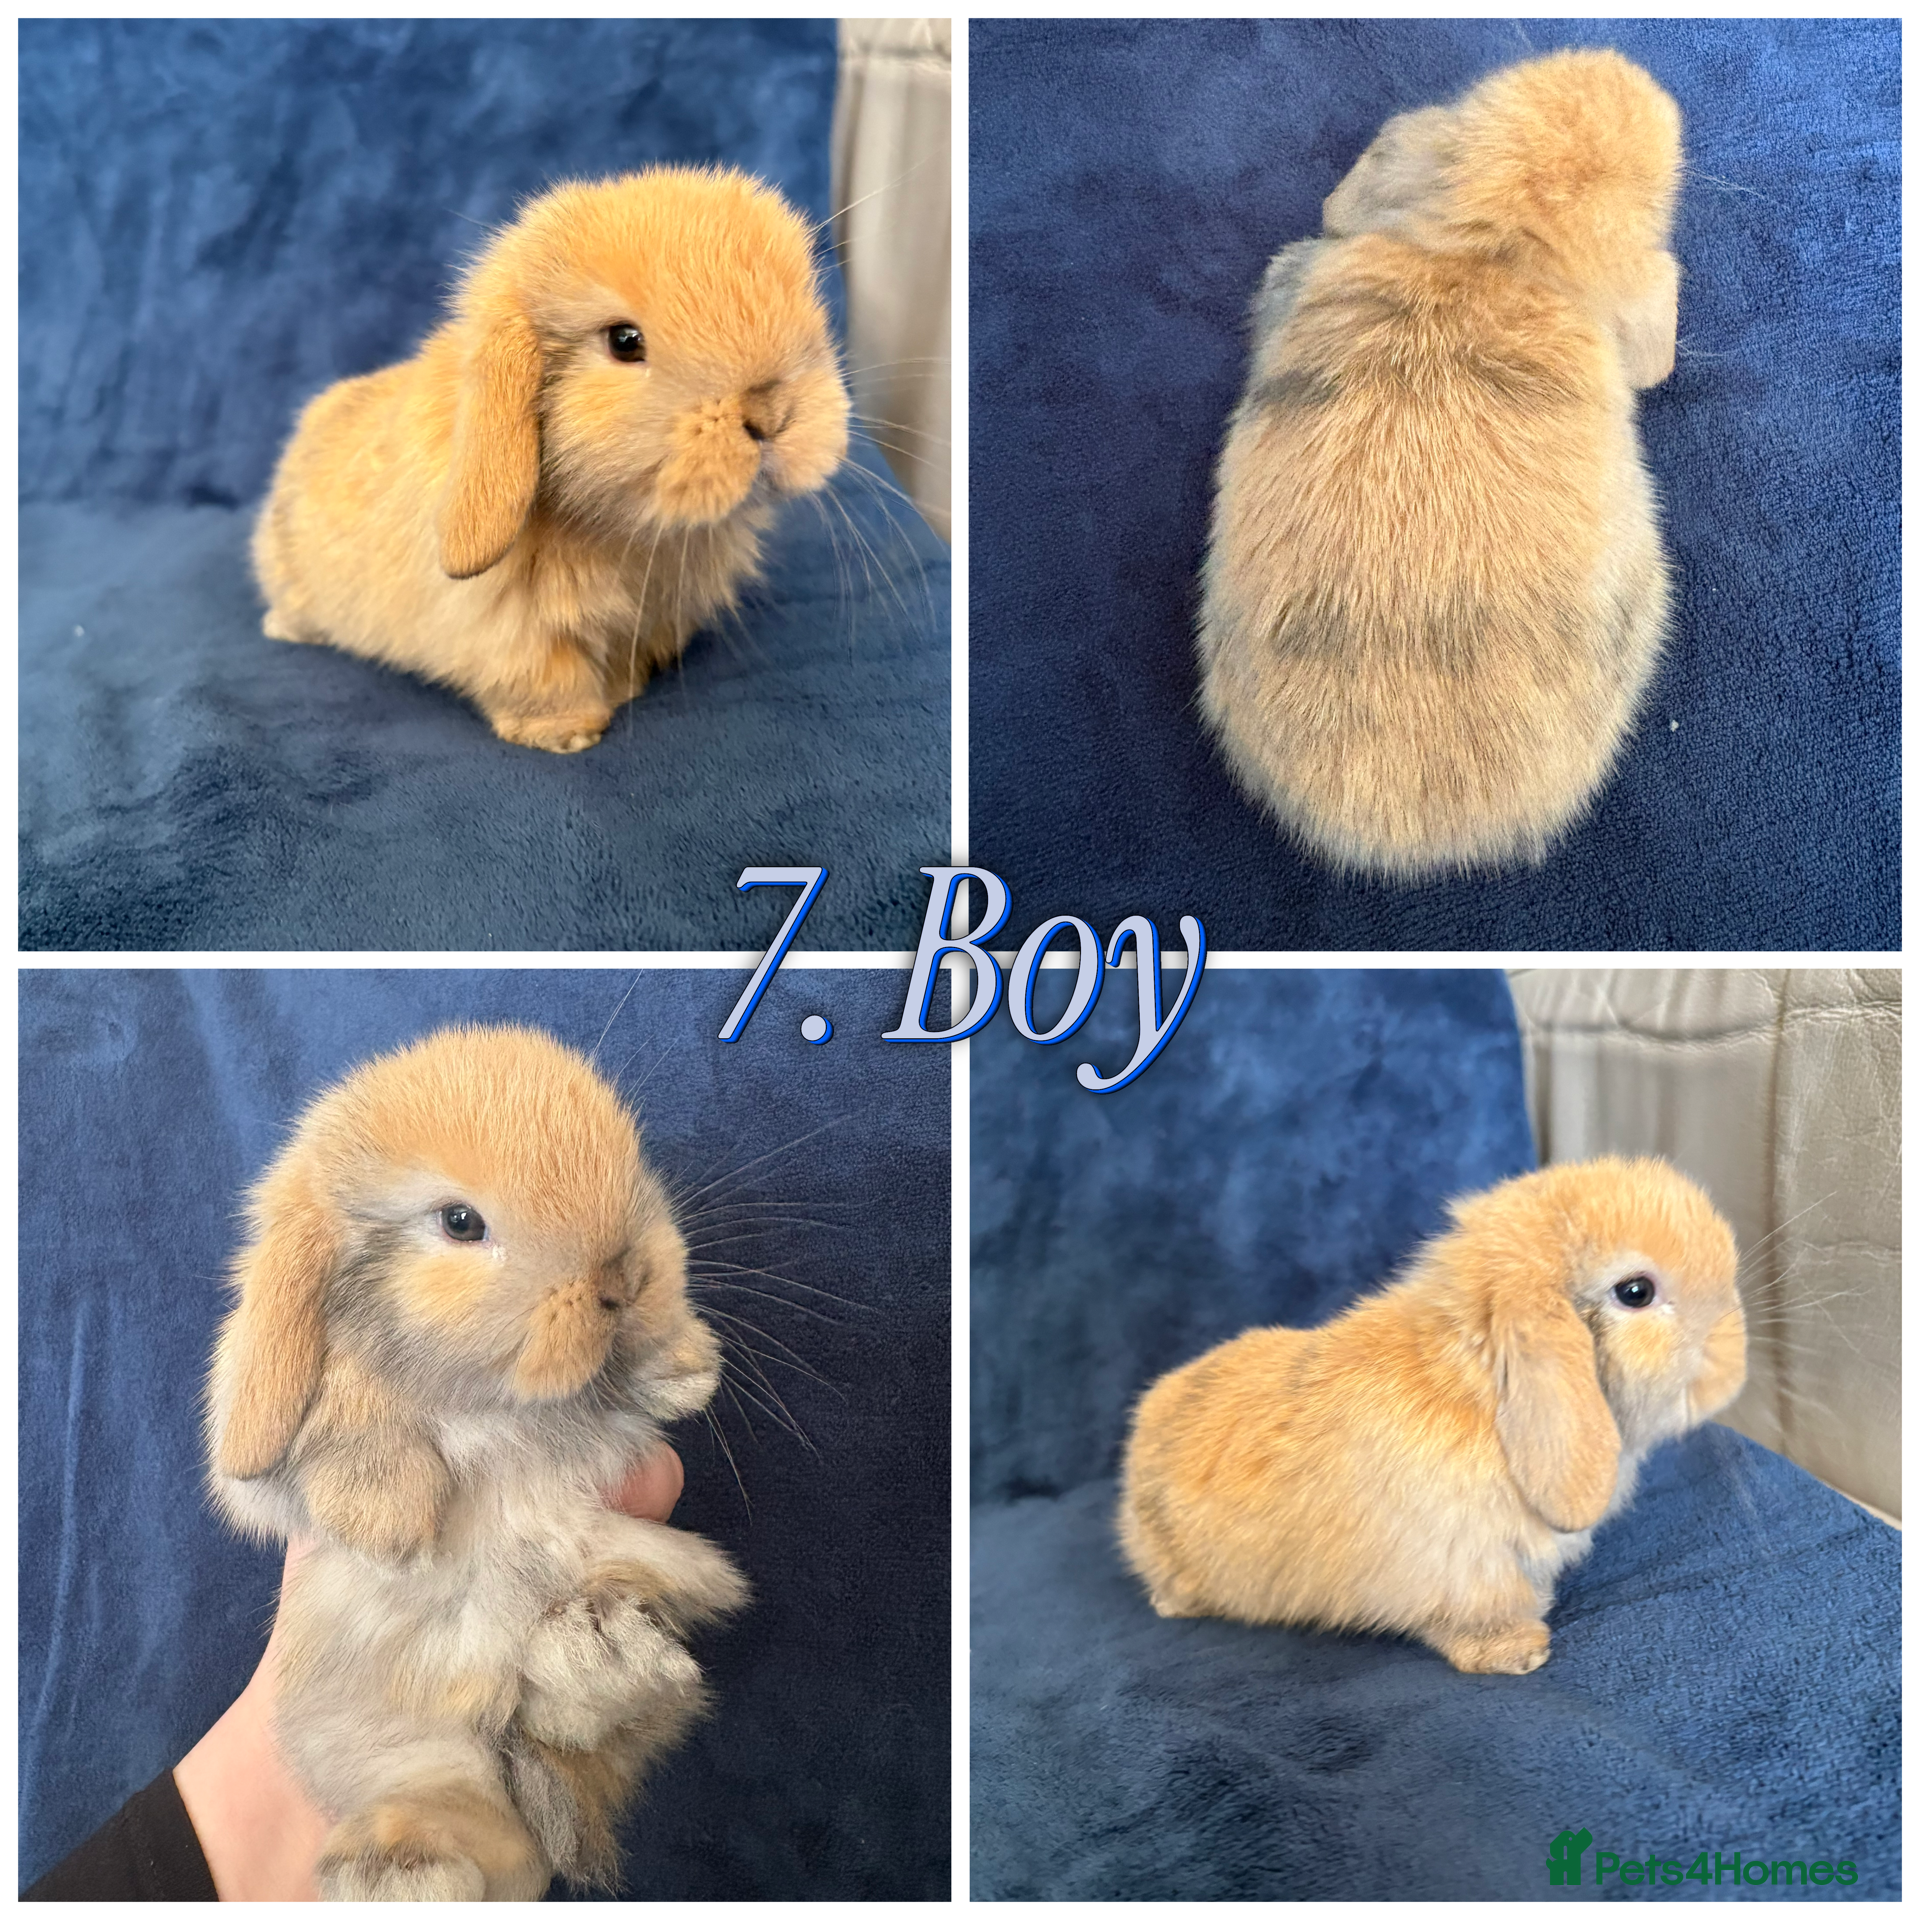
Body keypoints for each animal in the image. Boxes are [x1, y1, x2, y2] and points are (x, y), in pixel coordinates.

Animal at [204, 1024, 748, 1898]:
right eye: (460, 1222)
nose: (624, 1277)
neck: (483, 1404)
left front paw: (684, 1368)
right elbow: (347, 1411)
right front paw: (390, 1520)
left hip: (659, 1570)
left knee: (609, 1727)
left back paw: (597, 1653)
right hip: (395, 1735)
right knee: (479, 1816)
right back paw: (398, 1867)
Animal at [252, 166, 850, 753]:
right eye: (624, 341)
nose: (771, 412)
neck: (626, 533)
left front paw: (625, 689)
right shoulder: (513, 628)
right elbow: (546, 677)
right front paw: (565, 735)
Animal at [1118, 1157, 1743, 1674]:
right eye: (1636, 1291)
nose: (1735, 1359)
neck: (1480, 1395)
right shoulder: (1461, 1569)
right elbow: (1470, 1615)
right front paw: (1518, 1653)